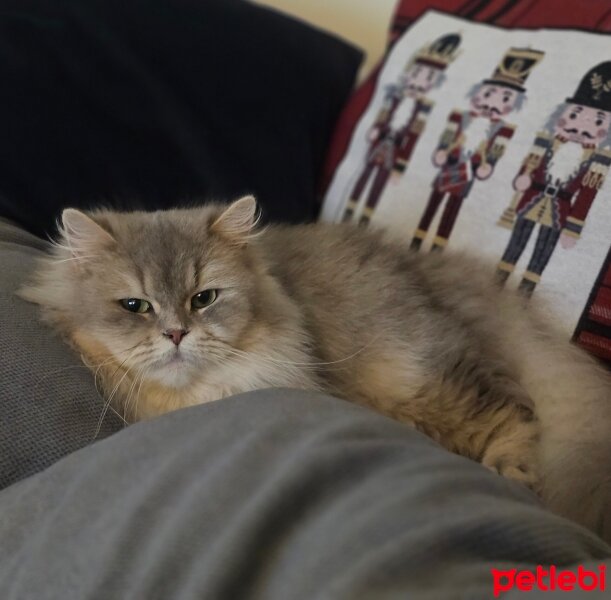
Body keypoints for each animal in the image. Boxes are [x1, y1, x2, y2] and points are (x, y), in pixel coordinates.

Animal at [19, 196, 611, 544]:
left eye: (204, 298)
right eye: (135, 306)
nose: (176, 334)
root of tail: (429, 269)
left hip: (419, 377)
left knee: (516, 415)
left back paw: (512, 473)